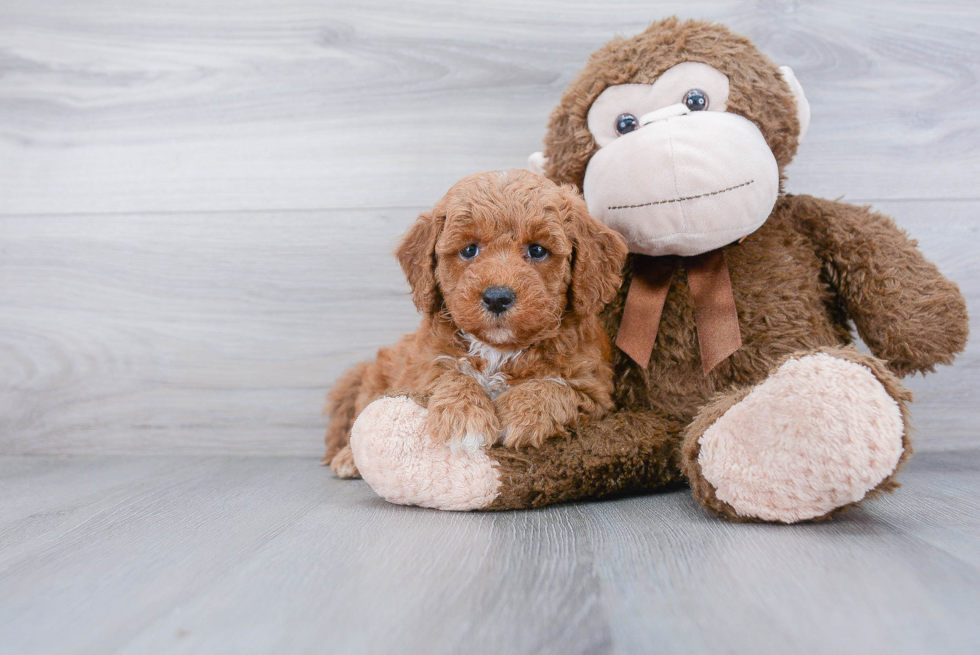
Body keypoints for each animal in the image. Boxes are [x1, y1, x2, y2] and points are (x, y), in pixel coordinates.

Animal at [324, 169, 628, 476]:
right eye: (469, 250)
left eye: (538, 250)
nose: (497, 298)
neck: (498, 349)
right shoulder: (422, 368)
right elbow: (450, 374)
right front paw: (465, 415)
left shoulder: (595, 391)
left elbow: (557, 388)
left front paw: (516, 412)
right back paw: (347, 457)